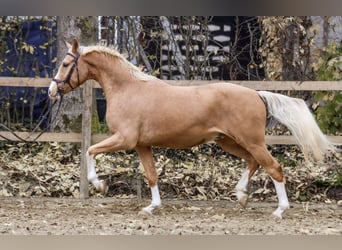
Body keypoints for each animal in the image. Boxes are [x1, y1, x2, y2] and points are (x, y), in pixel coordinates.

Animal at [48, 38, 334, 218]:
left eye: (65, 64)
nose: (51, 91)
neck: (128, 89)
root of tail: (257, 94)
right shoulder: (142, 145)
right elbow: (152, 175)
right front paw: (151, 207)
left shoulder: (125, 139)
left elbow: (90, 151)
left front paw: (99, 185)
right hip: (228, 141)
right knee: (254, 162)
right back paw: (241, 195)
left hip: (250, 141)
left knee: (274, 167)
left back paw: (279, 210)